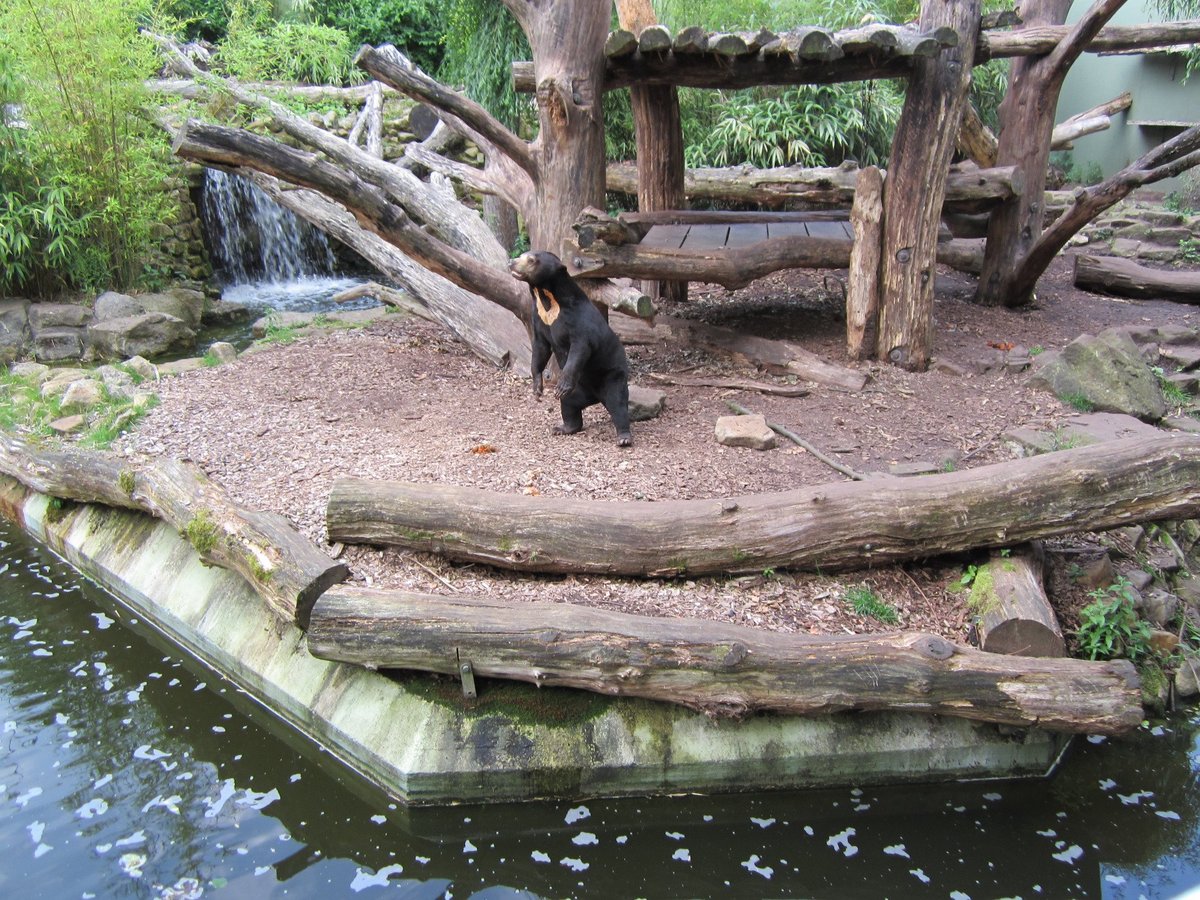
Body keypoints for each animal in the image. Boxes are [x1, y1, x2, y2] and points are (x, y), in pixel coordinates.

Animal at [508, 248, 638, 448]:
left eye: (531, 260)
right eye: (522, 256)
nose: (511, 262)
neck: (548, 300)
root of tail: (596, 397)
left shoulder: (578, 321)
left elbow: (580, 349)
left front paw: (559, 384)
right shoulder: (539, 318)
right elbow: (540, 349)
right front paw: (537, 389)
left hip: (612, 376)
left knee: (618, 404)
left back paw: (623, 438)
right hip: (578, 390)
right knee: (569, 404)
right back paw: (563, 428)